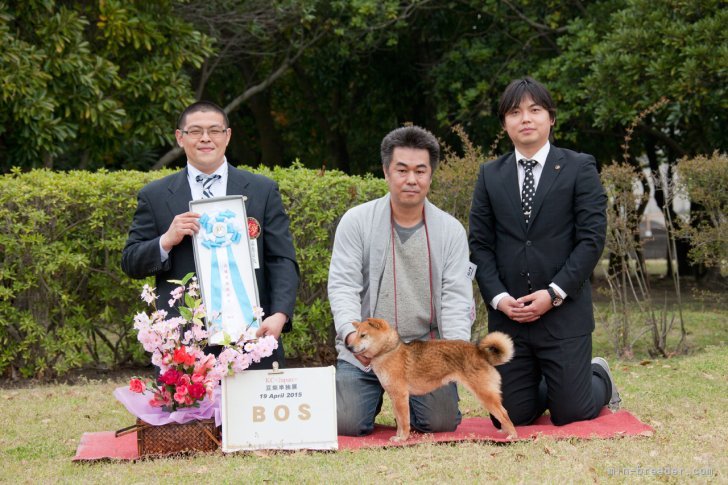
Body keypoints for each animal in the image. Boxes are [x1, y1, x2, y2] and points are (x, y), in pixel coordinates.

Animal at [348, 316, 516, 440]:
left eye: (363, 335)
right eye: (355, 335)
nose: (349, 347)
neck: (388, 351)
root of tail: (481, 352)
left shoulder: (401, 396)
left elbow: (404, 422)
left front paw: (403, 438)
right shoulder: (394, 397)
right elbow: (400, 421)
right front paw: (397, 436)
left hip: (484, 394)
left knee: (504, 413)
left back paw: (512, 435)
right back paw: (505, 431)